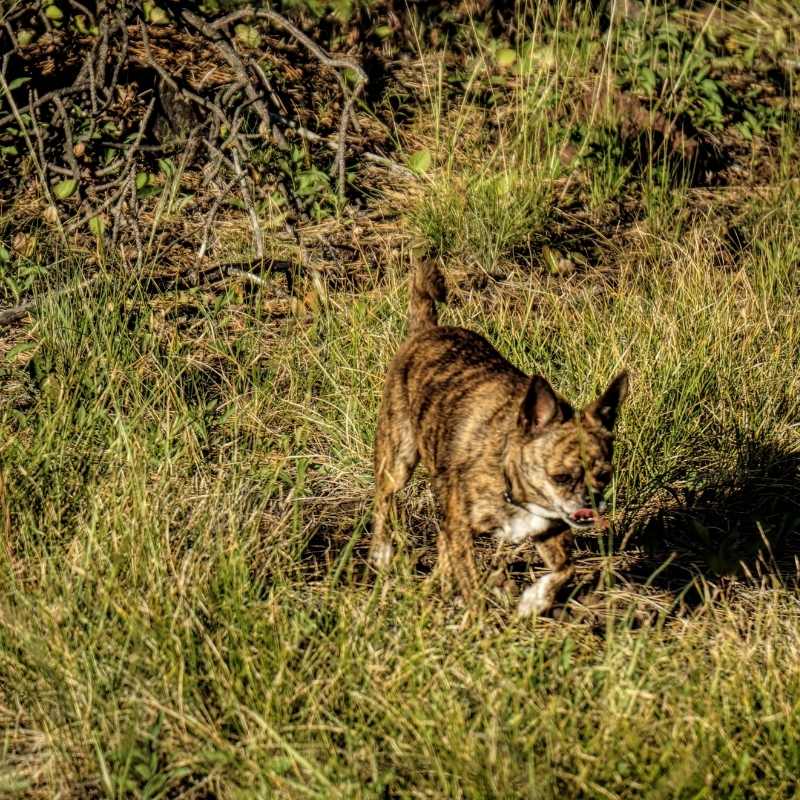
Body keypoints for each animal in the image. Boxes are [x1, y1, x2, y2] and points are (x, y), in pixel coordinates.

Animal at [372, 260, 628, 616]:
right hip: (398, 458)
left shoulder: (551, 533)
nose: (590, 503)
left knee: (440, 544)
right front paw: (479, 617)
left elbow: (566, 568)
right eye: (560, 477)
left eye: (605, 476)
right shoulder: (462, 529)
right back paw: (382, 553)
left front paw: (534, 600)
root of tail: (426, 330)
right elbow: (471, 581)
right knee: (384, 499)